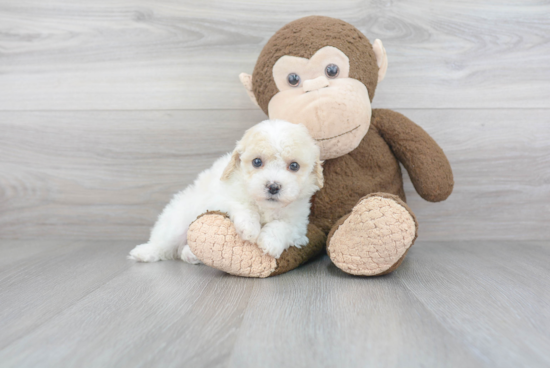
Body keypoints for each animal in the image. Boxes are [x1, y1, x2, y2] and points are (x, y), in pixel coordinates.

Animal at [129, 121, 324, 264]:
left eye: (294, 166)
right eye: (257, 162)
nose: (273, 187)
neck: (265, 206)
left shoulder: (298, 221)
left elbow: (283, 226)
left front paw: (270, 242)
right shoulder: (224, 196)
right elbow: (242, 205)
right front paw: (249, 228)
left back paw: (189, 254)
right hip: (177, 222)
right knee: (164, 242)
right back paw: (143, 252)